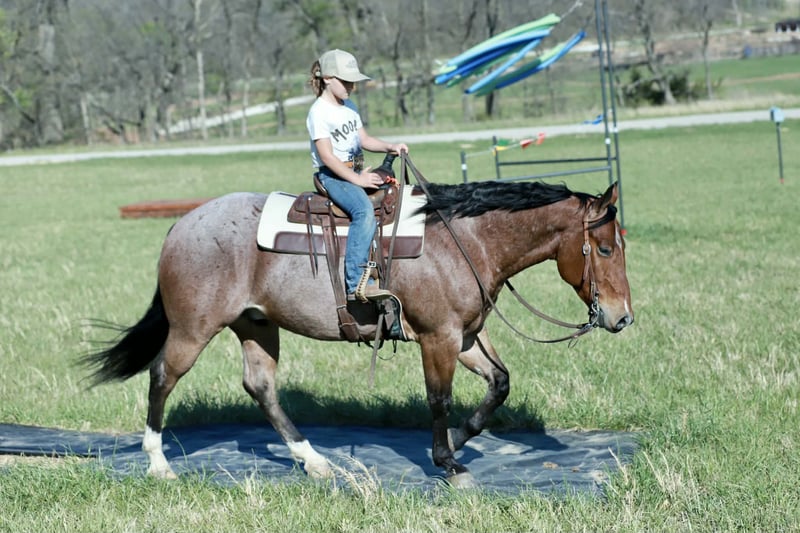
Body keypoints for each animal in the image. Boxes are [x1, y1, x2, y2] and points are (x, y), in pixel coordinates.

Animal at [83, 175, 633, 488]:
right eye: (605, 248)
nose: (622, 317)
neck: (465, 239)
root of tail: (181, 226)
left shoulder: (466, 335)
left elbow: (499, 384)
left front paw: (457, 440)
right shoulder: (438, 338)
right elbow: (438, 399)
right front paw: (447, 462)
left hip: (256, 325)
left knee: (261, 387)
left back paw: (313, 462)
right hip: (193, 328)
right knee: (162, 377)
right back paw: (158, 464)